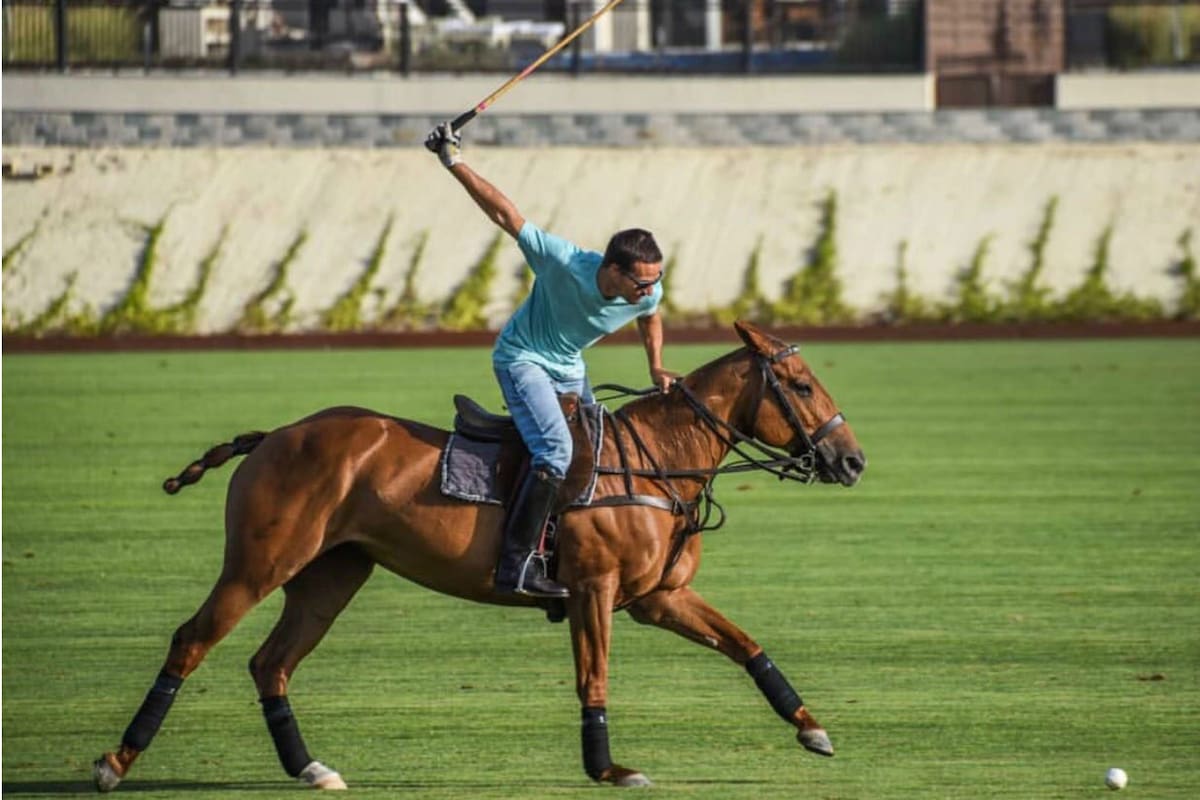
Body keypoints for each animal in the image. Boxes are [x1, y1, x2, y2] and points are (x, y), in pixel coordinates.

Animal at [93, 320, 866, 792]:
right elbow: (594, 680)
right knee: (192, 640)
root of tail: (273, 435)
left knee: (270, 662)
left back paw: (311, 769)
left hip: (330, 574)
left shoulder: (657, 598)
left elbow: (746, 646)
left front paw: (813, 729)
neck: (653, 463)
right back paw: (114, 763)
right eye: (801, 386)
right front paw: (608, 769)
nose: (852, 460)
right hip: (259, 563)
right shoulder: (593, 591)